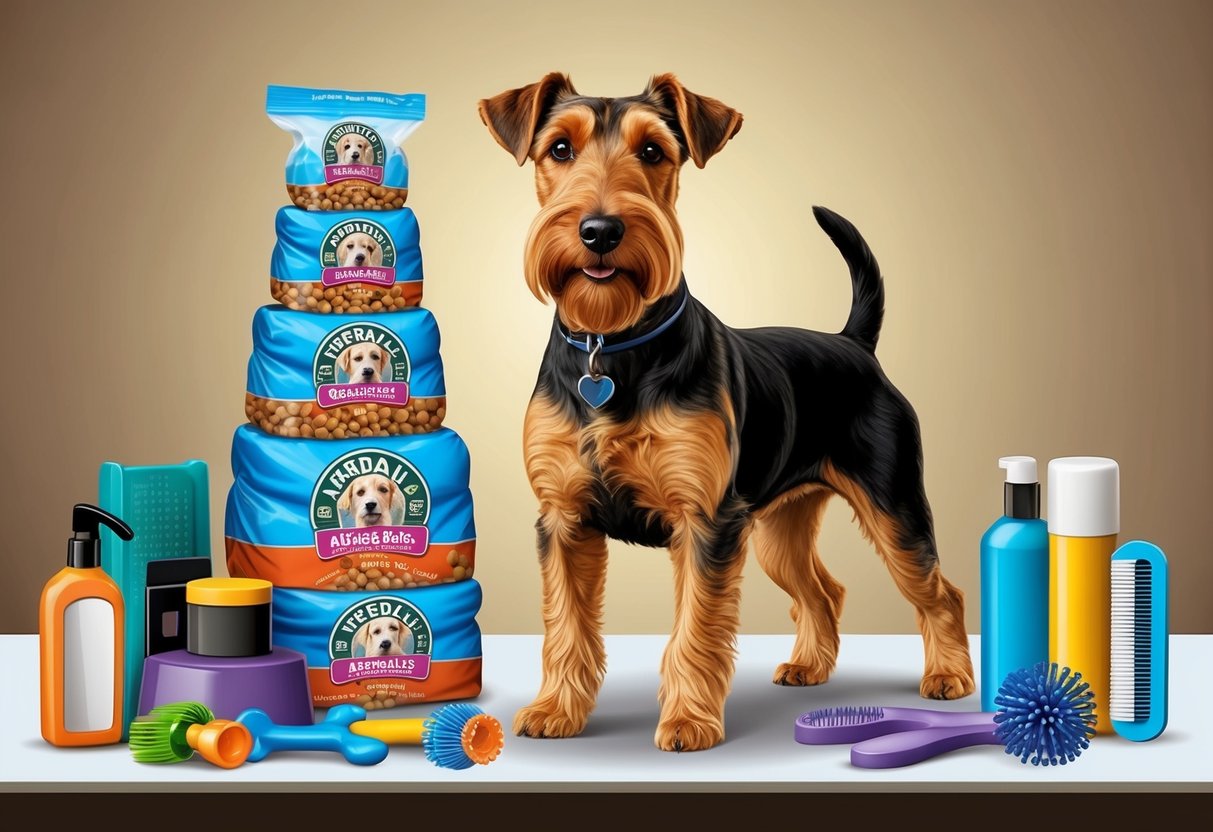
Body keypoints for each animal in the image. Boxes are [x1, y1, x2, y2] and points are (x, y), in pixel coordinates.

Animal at [475, 73, 975, 756]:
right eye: (558, 148)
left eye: (653, 151)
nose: (600, 230)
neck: (613, 346)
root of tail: (854, 345)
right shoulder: (564, 518)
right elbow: (566, 627)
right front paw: (556, 709)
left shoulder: (706, 522)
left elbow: (695, 629)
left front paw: (688, 722)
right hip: (779, 529)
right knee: (824, 590)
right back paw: (810, 666)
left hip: (892, 507)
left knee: (938, 591)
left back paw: (948, 676)